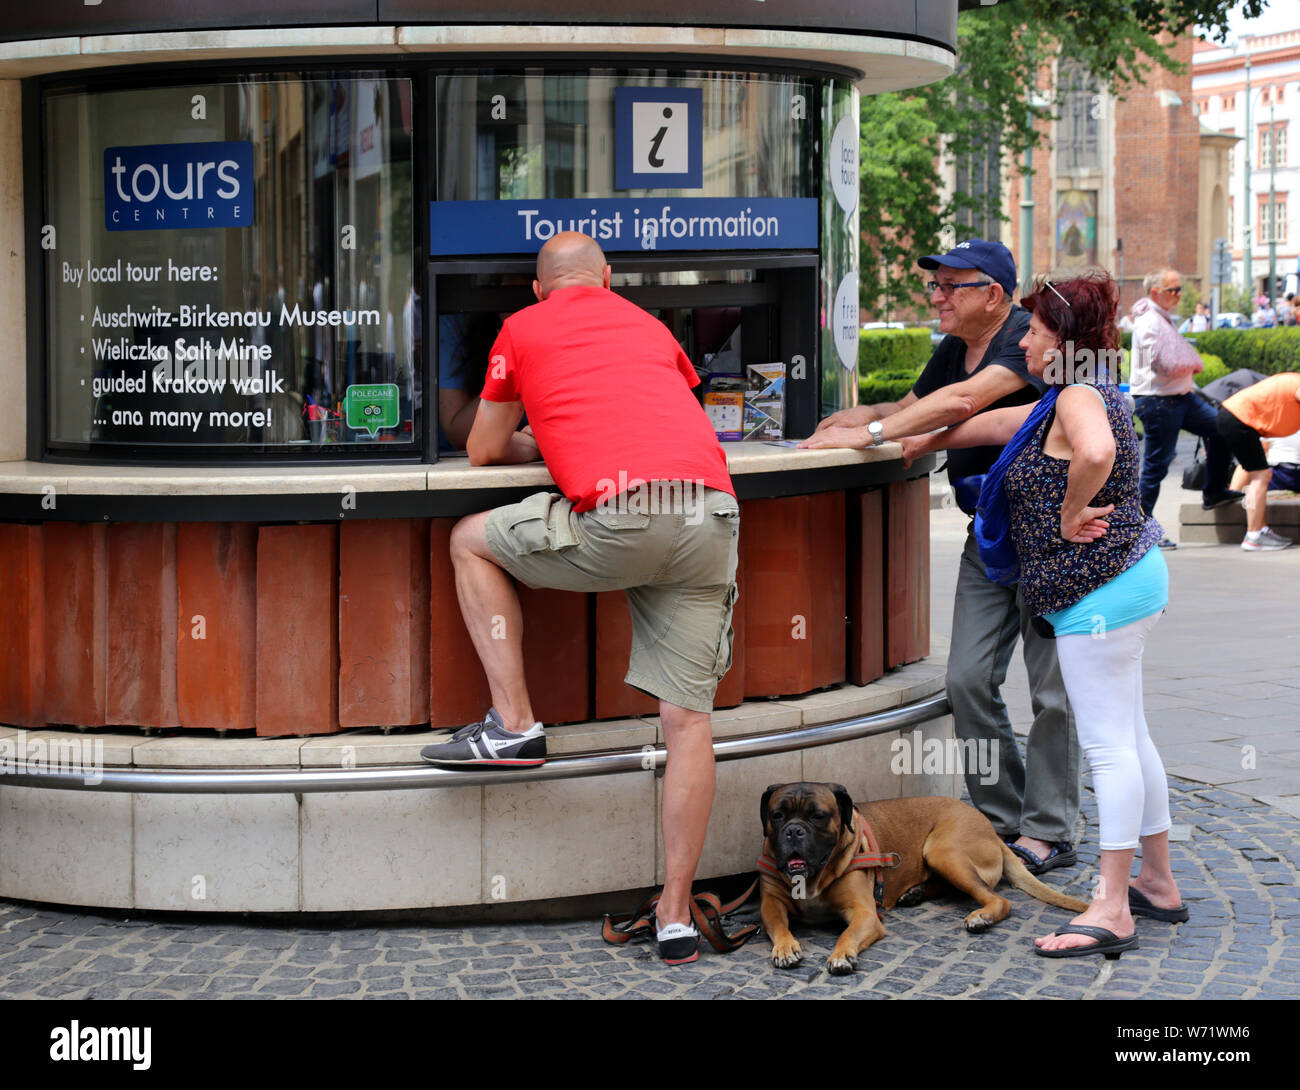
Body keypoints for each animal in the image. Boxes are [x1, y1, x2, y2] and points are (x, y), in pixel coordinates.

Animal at [759, 785, 1086, 972]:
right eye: (778, 815)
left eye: (818, 816)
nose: (794, 831)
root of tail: (991, 829)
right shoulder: (771, 904)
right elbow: (778, 925)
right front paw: (785, 947)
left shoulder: (865, 914)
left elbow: (847, 934)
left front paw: (842, 955)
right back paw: (914, 893)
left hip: (944, 851)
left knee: (998, 899)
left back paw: (981, 917)